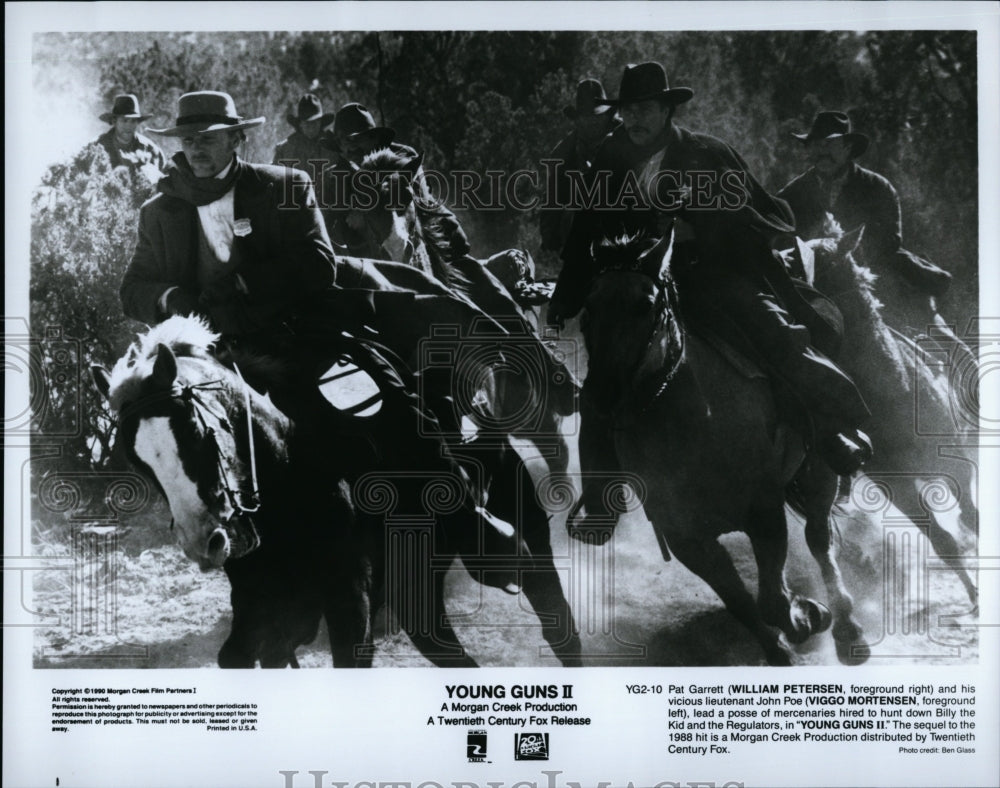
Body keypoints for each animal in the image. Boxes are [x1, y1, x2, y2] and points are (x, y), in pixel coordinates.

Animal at [576, 232, 872, 664]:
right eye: (588, 309)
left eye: (644, 305)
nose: (601, 396)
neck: (688, 427)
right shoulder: (686, 539)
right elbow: (743, 605)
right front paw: (783, 647)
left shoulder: (764, 511)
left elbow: (772, 602)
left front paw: (807, 616)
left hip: (820, 470)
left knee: (820, 539)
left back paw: (849, 631)